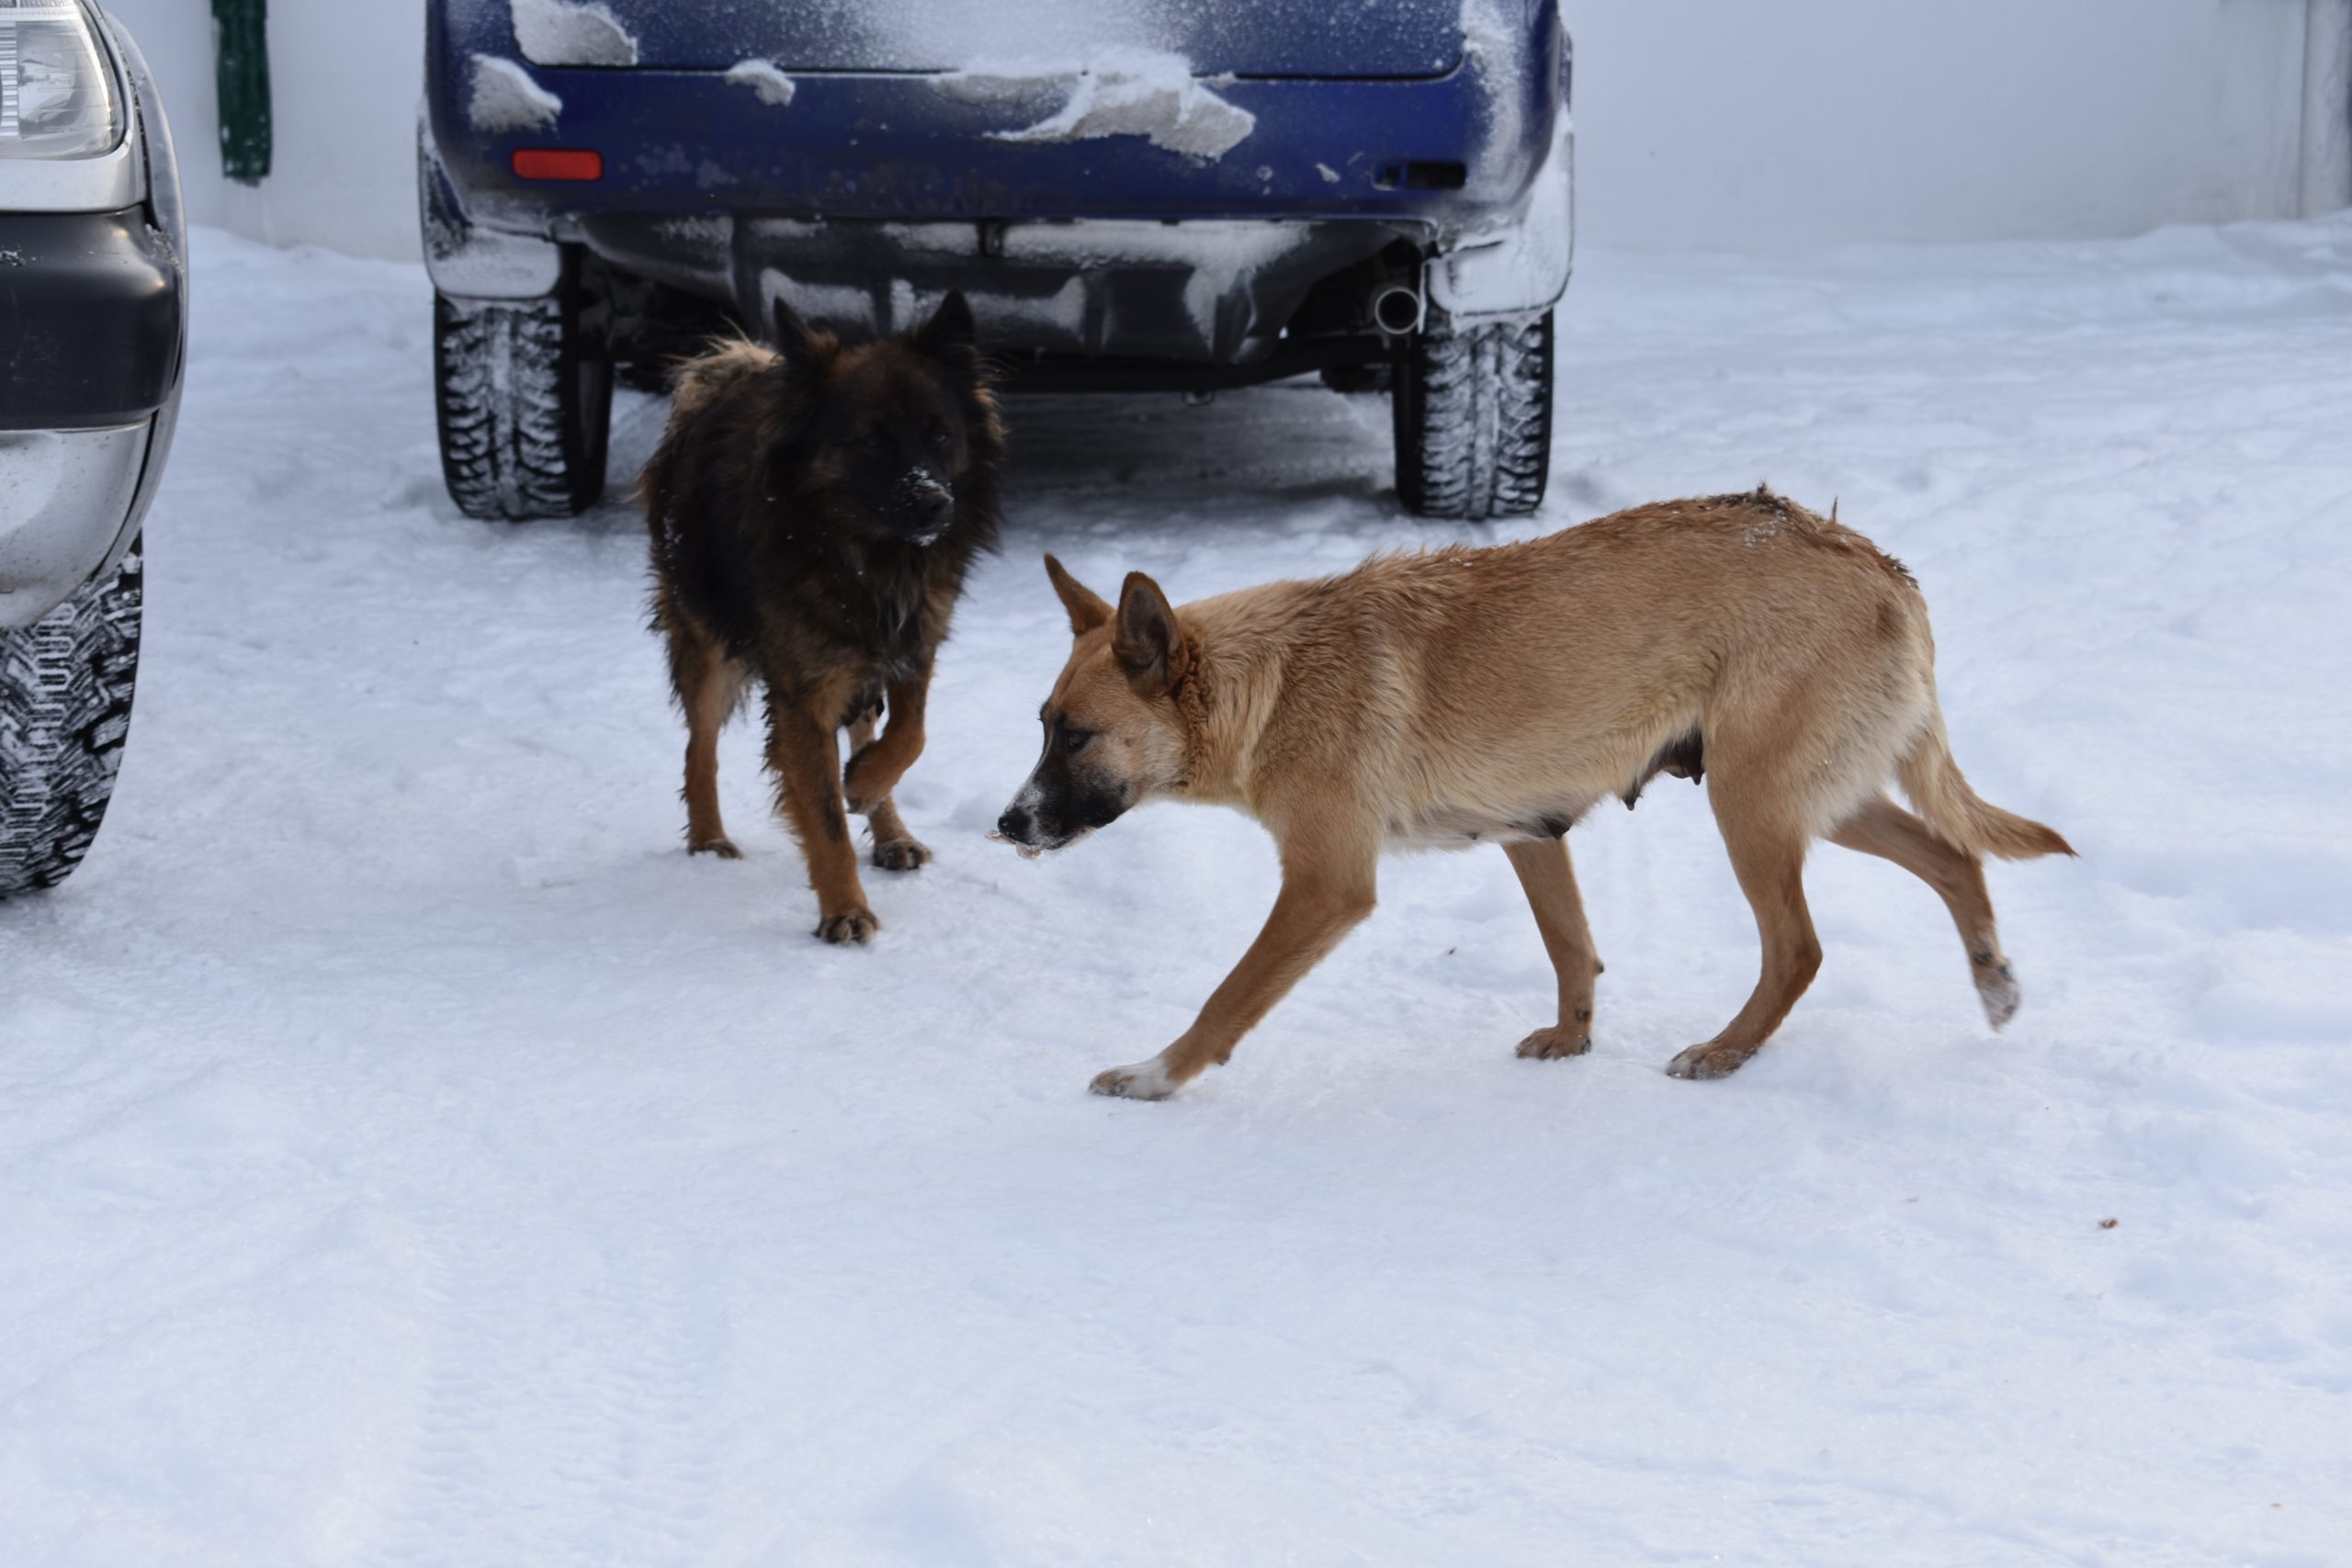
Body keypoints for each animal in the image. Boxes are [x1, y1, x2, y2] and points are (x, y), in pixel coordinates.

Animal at [644, 291, 1001, 944]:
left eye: (941, 434)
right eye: (872, 442)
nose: (935, 502)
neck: (864, 555)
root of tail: (727, 376)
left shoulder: (914, 644)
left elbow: (910, 734)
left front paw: (863, 782)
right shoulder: (803, 693)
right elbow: (824, 817)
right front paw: (844, 910)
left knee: (863, 725)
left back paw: (890, 832)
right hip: (707, 641)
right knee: (698, 746)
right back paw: (708, 839)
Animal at [992, 493, 2079, 1104]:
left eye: (1074, 735)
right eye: (1040, 722)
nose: (1007, 823)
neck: (1274, 680)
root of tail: (1882, 570)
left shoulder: (1326, 887)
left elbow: (1226, 997)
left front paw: (1154, 1076)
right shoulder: (1531, 832)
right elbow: (1572, 948)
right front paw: (1572, 1037)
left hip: (1754, 805)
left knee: (1800, 948)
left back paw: (1726, 1052)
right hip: (1822, 797)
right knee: (1955, 856)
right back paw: (1992, 980)